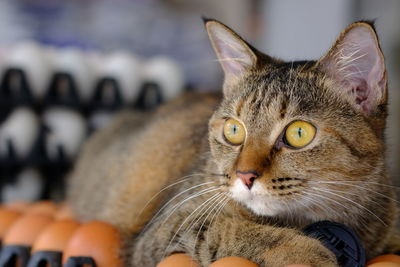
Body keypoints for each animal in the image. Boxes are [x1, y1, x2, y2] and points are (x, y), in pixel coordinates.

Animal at [68, 19, 400, 267]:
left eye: (298, 133)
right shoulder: (160, 233)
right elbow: (223, 229)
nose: (245, 175)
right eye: (233, 130)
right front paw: (302, 250)